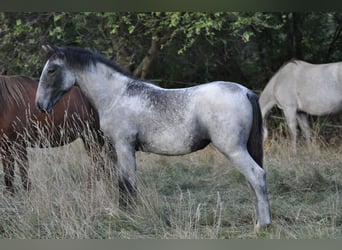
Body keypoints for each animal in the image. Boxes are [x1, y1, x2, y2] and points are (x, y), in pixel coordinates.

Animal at [34, 45, 270, 230]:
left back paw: (262, 225)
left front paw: (127, 217)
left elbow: (126, 183)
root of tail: (246, 91)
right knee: (253, 181)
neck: (116, 95)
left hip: (234, 150)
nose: (40, 105)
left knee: (257, 176)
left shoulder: (124, 146)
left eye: (52, 70)